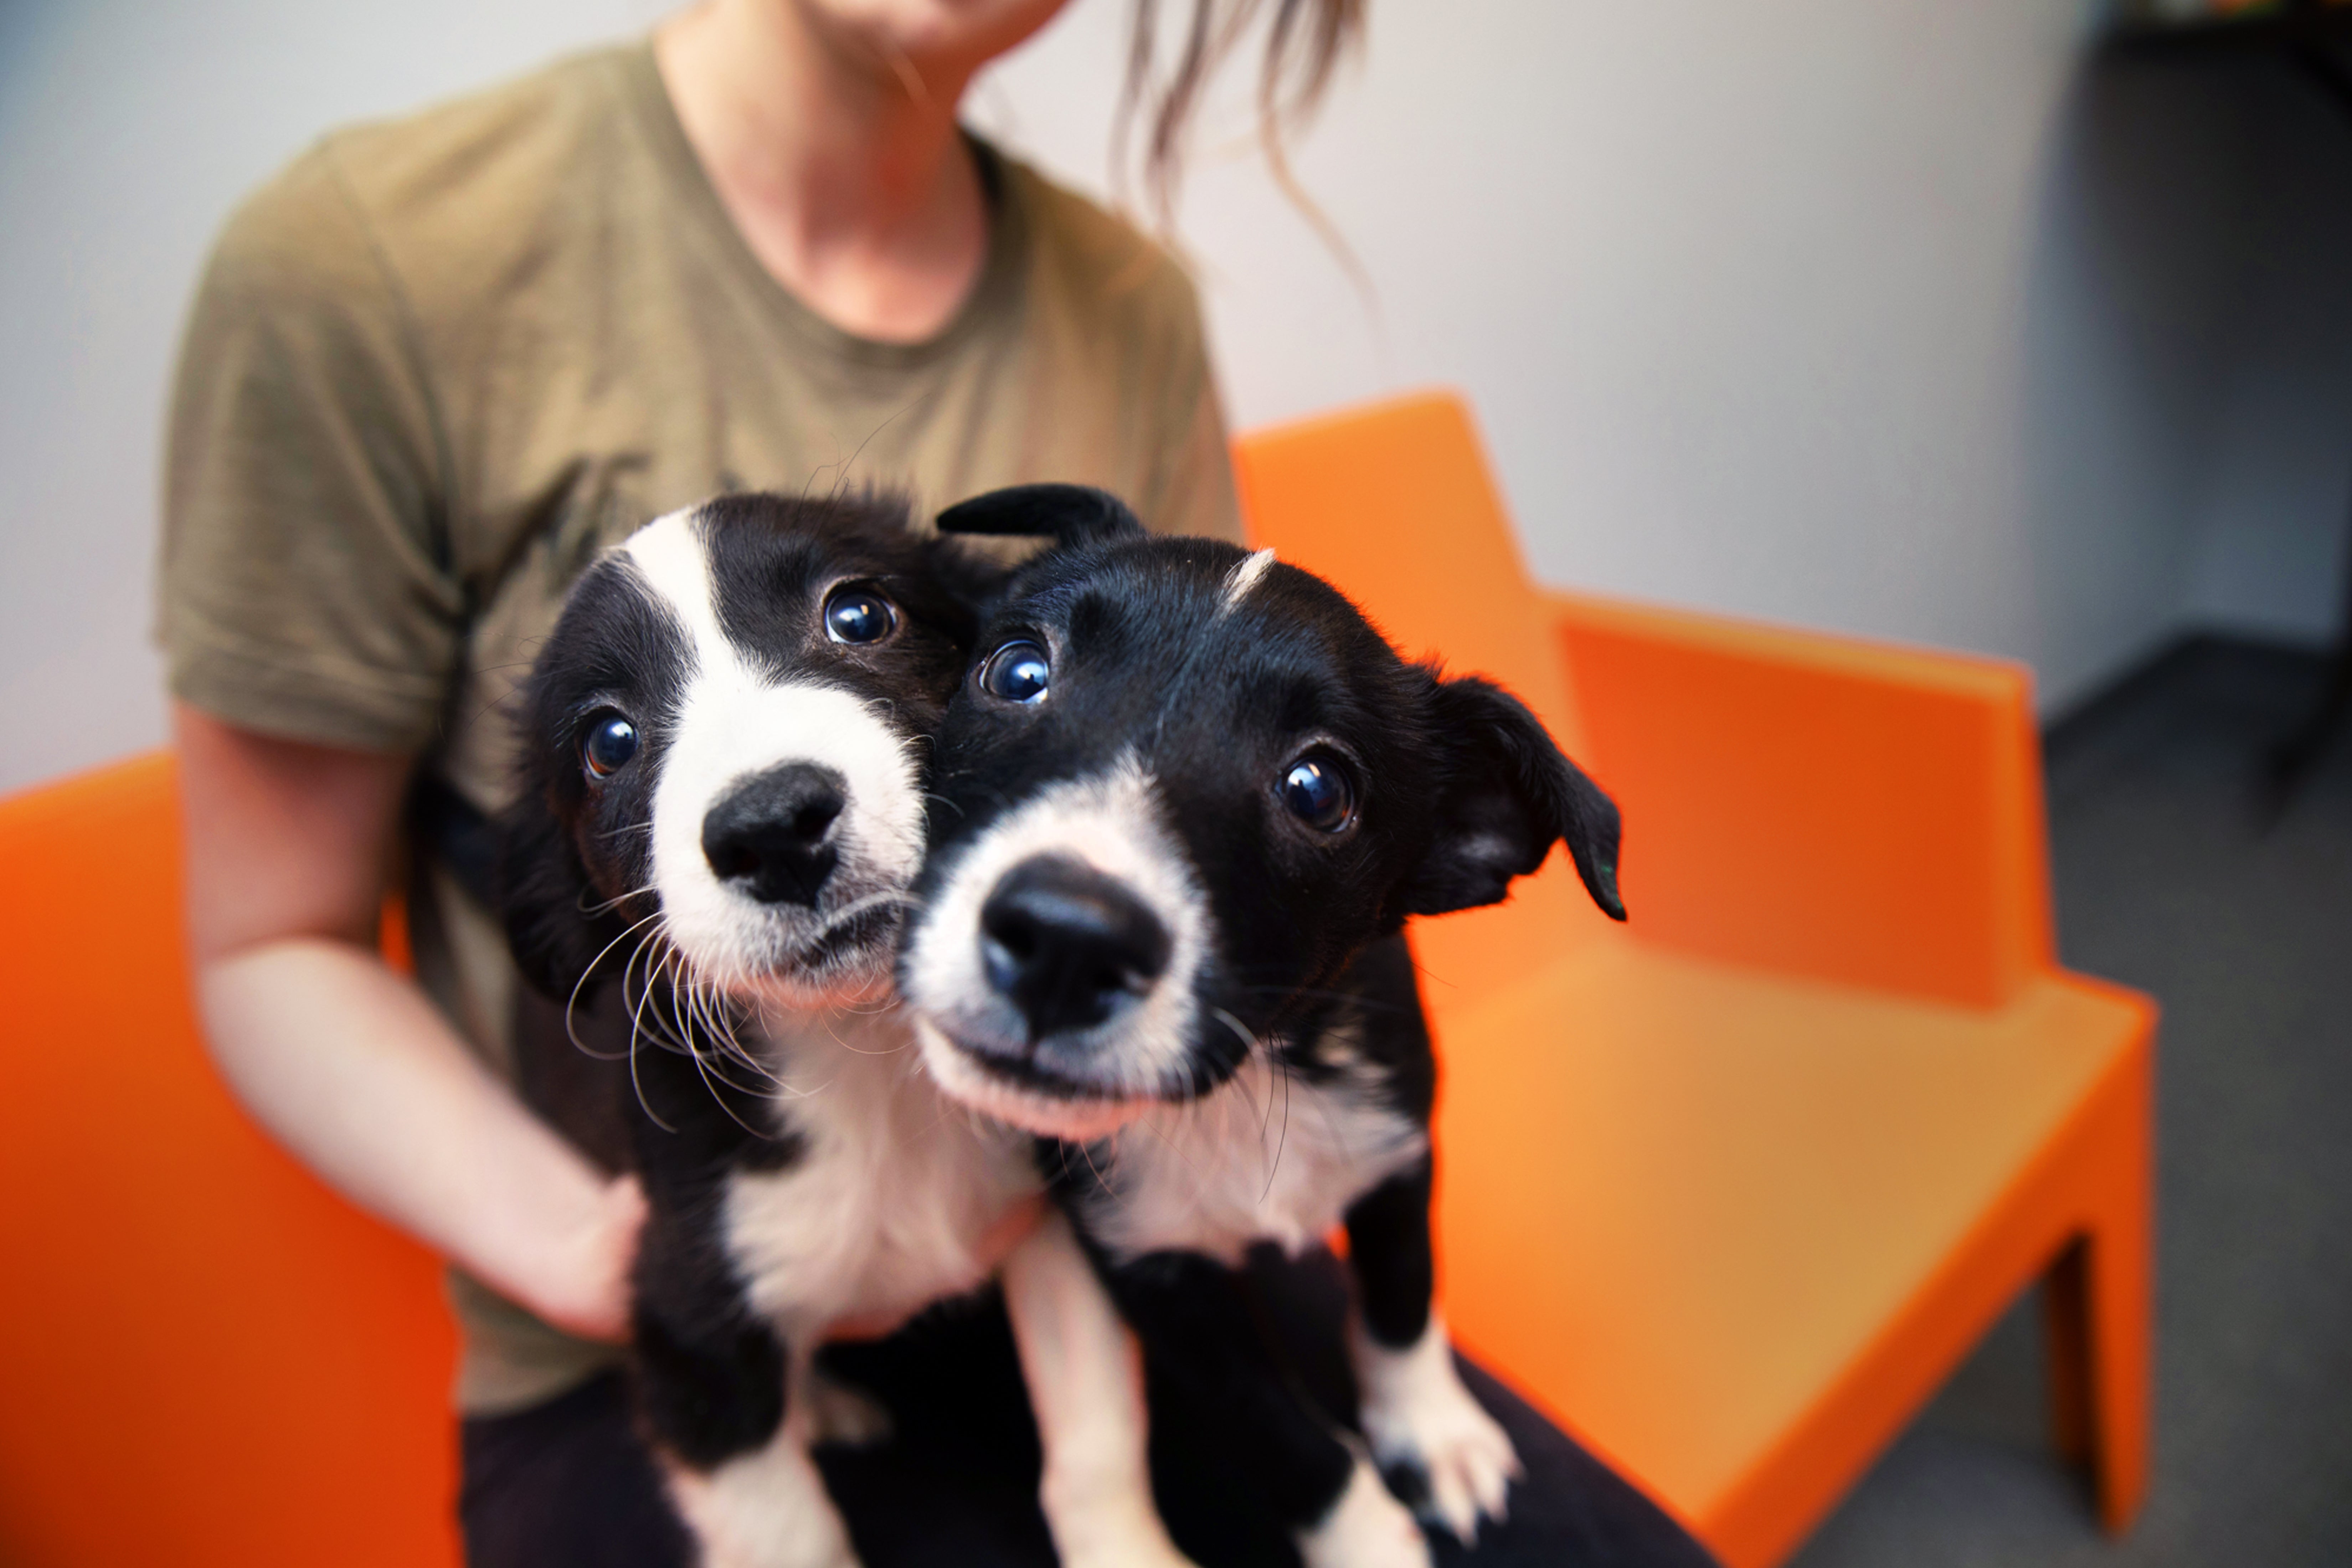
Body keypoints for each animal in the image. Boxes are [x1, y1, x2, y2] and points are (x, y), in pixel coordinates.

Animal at [898, 485, 1628, 1568]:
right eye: (1019, 671)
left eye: (1317, 790)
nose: (1066, 940)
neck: (1252, 1079)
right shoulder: (1147, 1267)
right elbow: (1287, 1438)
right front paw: (1370, 1542)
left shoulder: (1398, 1142)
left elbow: (1402, 1295)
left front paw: (1432, 1431)